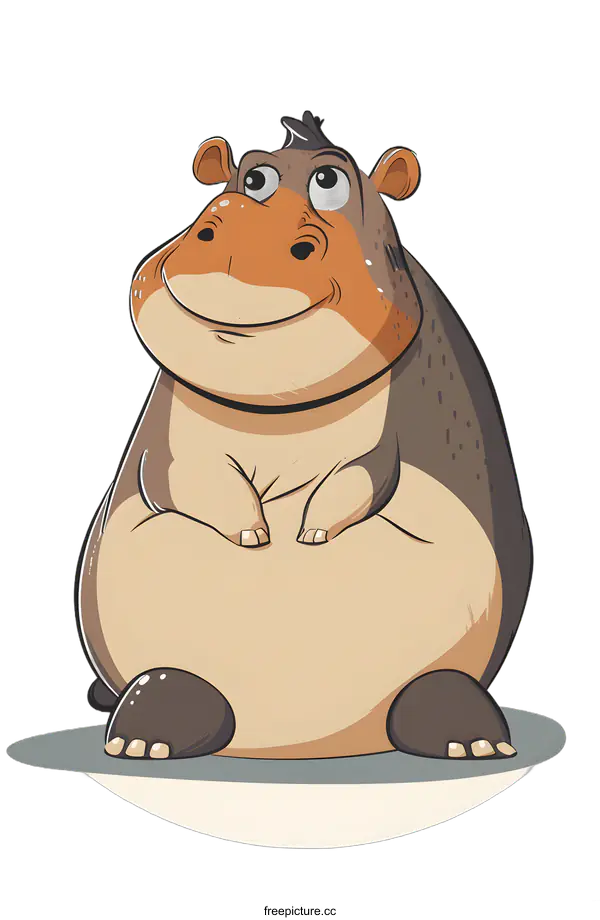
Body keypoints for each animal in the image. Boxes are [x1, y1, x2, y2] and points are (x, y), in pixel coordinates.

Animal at [74, 110, 533, 763]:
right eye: (249, 177)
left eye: (330, 182)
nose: (231, 222)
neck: (276, 409)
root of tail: (291, 746)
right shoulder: (173, 448)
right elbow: (197, 478)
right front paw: (254, 533)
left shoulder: (379, 446)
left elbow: (359, 475)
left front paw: (309, 532)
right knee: (179, 690)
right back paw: (144, 739)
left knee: (434, 690)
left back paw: (470, 741)